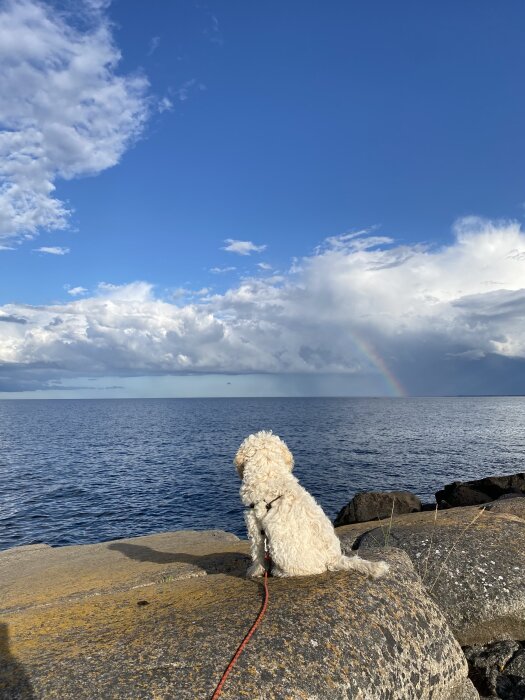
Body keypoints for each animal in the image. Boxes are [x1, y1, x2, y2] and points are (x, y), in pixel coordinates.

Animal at [234, 432, 388, 580]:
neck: (269, 471)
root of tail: (334, 559)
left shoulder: (256, 526)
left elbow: (258, 555)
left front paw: (254, 571)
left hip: (281, 550)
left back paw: (280, 572)